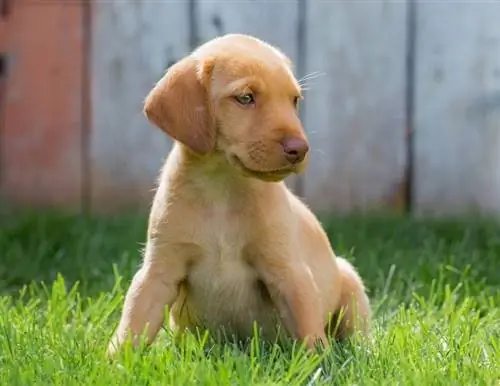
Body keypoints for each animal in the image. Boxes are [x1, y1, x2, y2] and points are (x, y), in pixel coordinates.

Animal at [106, 34, 372, 356]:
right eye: (245, 98)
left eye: (294, 100)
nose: (300, 149)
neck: (222, 187)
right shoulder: (158, 272)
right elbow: (133, 322)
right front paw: (115, 361)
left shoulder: (289, 272)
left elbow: (310, 333)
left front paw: (317, 363)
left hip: (350, 283)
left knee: (357, 333)